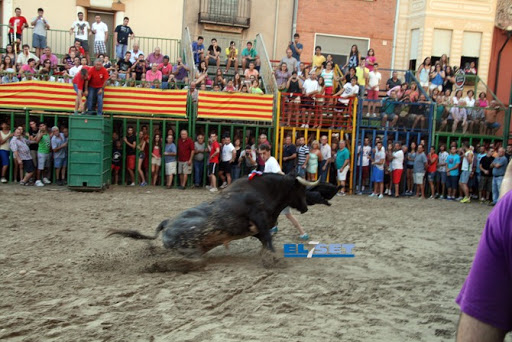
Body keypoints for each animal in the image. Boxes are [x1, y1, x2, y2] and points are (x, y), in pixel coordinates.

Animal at [108, 174, 340, 256]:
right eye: (300, 189)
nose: (306, 207)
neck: (265, 191)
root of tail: (167, 224)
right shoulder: (260, 220)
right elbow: (268, 238)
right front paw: (273, 259)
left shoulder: (258, 229)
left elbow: (265, 240)